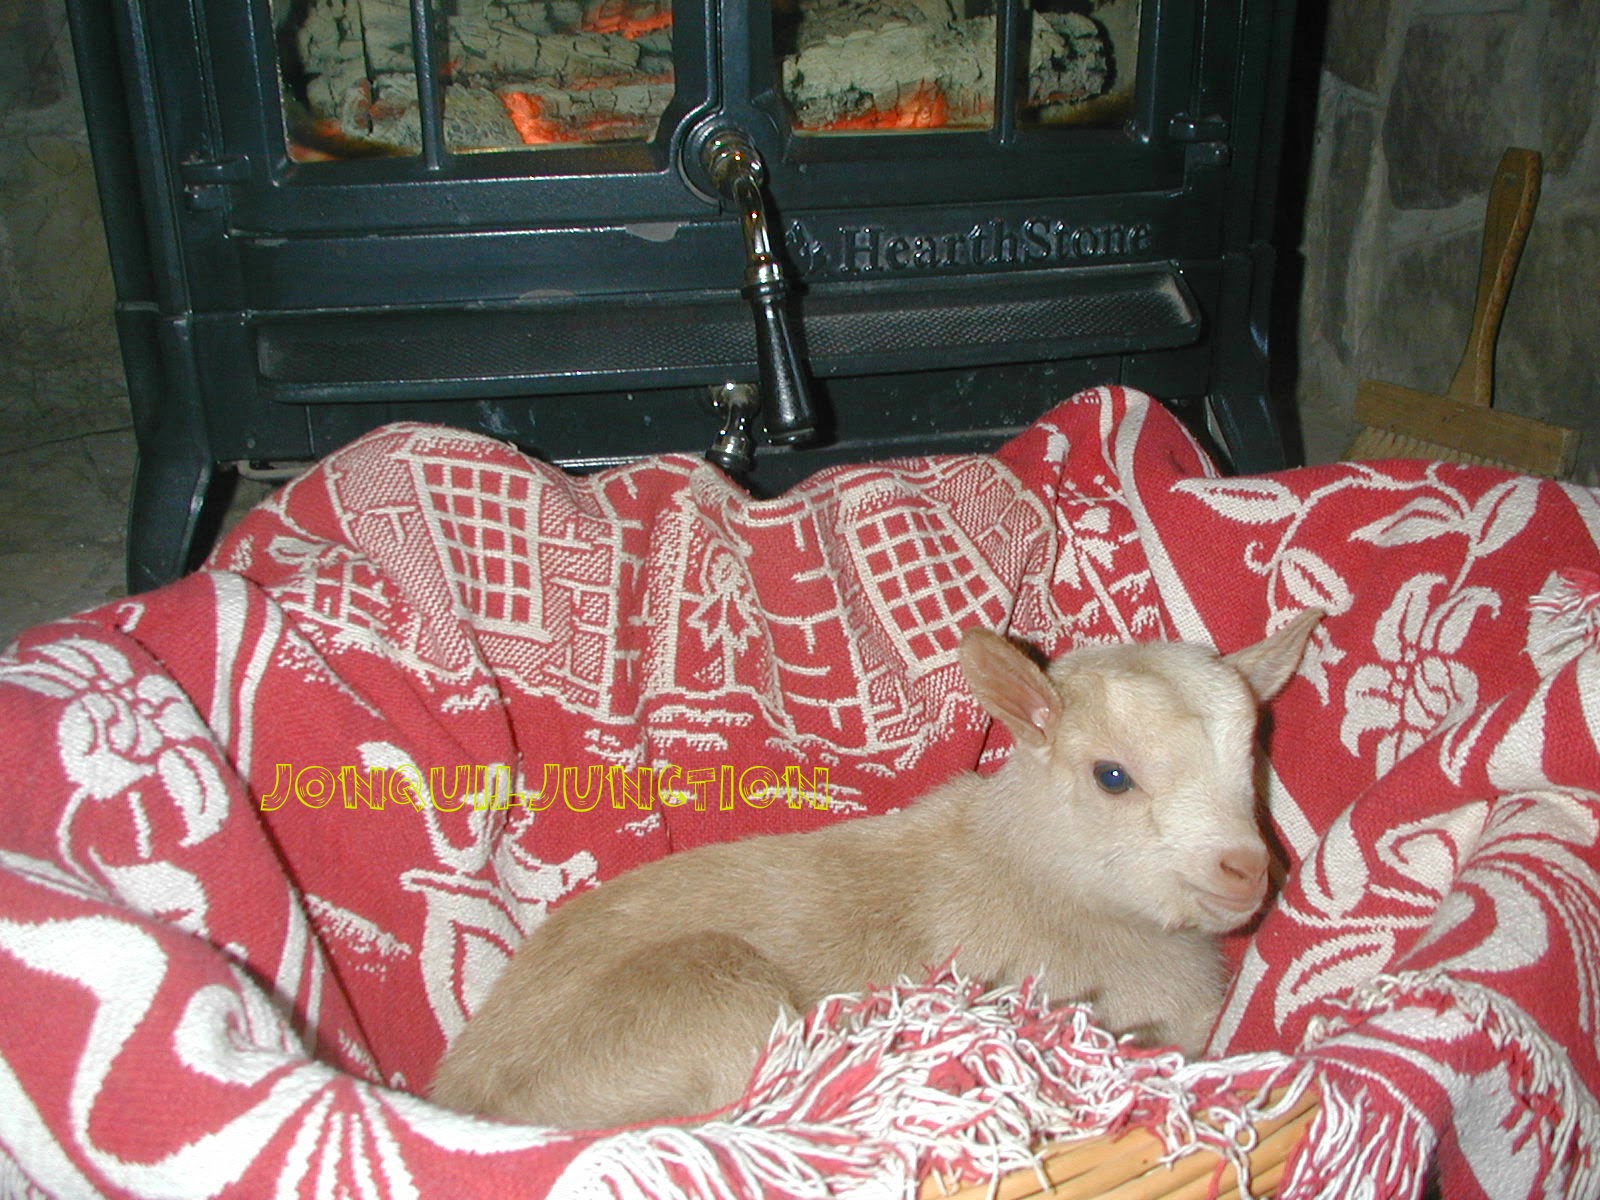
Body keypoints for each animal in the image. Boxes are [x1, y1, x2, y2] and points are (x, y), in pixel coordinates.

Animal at [430, 610, 1322, 1130]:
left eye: (1256, 755)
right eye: (1112, 776)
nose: (1246, 870)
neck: (1036, 875)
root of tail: (461, 1088)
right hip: (708, 1005)